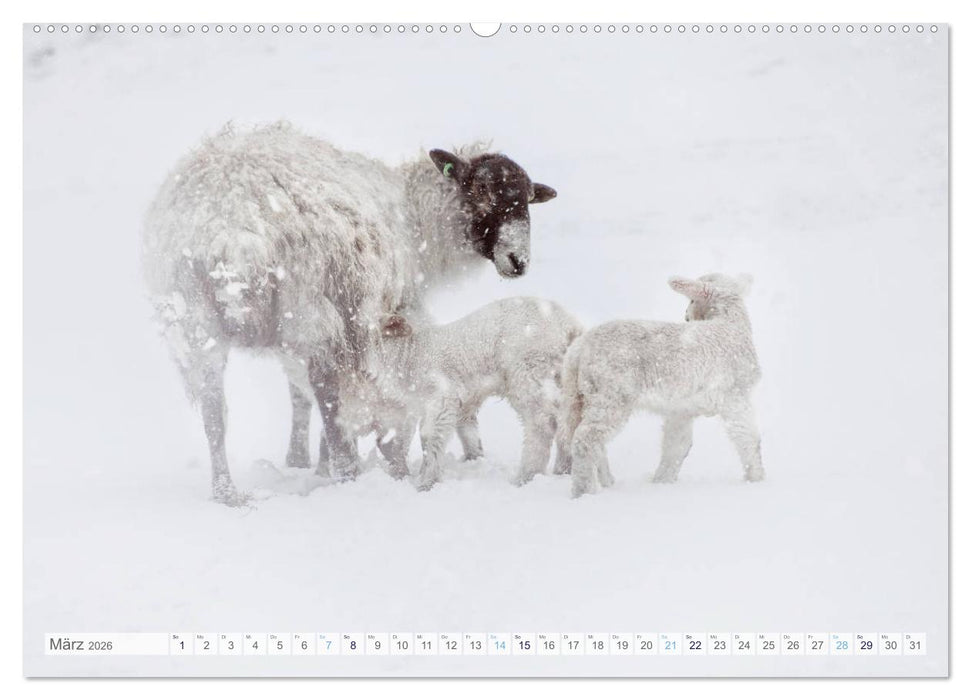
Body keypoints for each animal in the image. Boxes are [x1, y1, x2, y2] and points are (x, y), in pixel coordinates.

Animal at [142, 122, 557, 505]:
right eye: (481, 191)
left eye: (527, 200)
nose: (519, 261)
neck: (416, 218)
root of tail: (234, 227)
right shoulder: (383, 314)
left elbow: (297, 395)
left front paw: (299, 459)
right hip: (311, 307)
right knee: (328, 397)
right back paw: (345, 474)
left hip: (195, 319)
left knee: (215, 413)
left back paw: (226, 493)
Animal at [337, 297, 584, 490]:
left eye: (360, 329)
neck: (409, 354)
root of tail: (571, 327)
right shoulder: (458, 401)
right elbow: (463, 430)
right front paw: (469, 460)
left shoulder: (442, 393)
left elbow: (430, 436)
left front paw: (426, 482)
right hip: (563, 378)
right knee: (567, 419)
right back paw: (563, 468)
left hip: (529, 370)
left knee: (542, 423)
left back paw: (527, 476)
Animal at [555, 274, 763, 497]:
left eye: (692, 300)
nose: (686, 317)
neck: (730, 322)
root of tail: (578, 349)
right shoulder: (735, 397)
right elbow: (749, 439)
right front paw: (758, 479)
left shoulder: (683, 409)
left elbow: (677, 446)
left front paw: (662, 482)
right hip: (611, 395)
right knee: (584, 439)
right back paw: (585, 491)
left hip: (580, 397)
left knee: (589, 439)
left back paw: (606, 481)